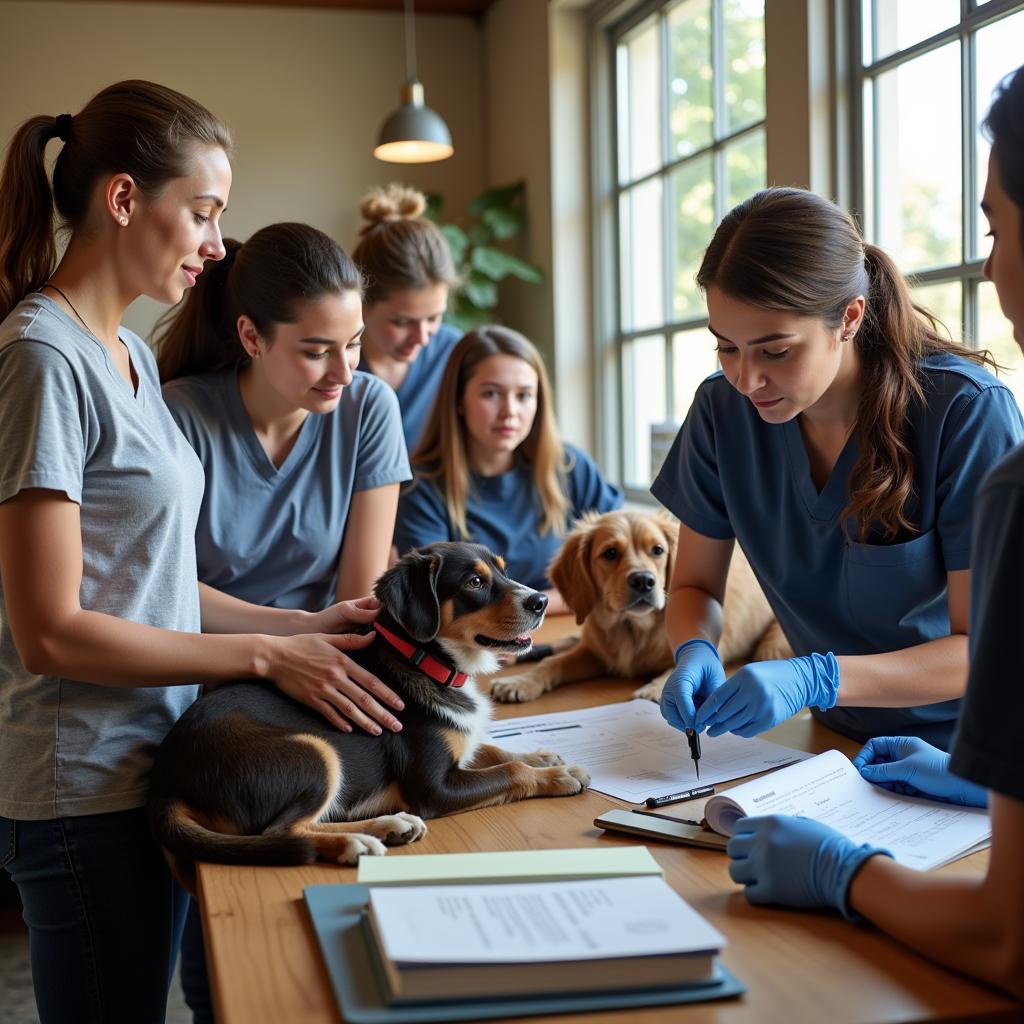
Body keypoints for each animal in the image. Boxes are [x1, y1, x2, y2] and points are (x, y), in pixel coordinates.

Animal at [148, 544, 589, 888]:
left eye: (503, 570)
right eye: (474, 583)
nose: (540, 601)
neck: (428, 660)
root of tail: (168, 780)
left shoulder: (458, 750)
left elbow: (492, 751)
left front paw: (542, 757)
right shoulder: (433, 788)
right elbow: (507, 772)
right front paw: (556, 776)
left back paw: (390, 826)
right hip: (315, 754)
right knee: (282, 830)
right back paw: (355, 842)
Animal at [491, 509, 786, 708]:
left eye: (657, 550)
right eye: (609, 553)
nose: (644, 581)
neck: (632, 627)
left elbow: (685, 665)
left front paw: (654, 691)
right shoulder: (594, 652)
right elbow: (552, 662)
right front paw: (521, 682)